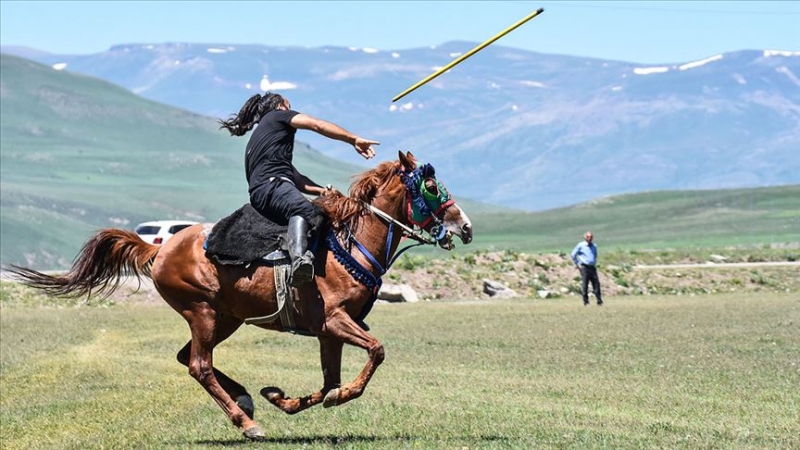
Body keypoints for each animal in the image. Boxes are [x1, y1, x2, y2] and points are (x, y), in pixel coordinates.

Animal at [9, 151, 472, 440]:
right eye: (431, 186)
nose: (465, 226)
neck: (350, 242)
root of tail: (160, 248)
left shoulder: (329, 332)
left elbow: (328, 382)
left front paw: (282, 398)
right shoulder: (336, 322)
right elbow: (375, 353)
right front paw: (335, 398)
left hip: (225, 318)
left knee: (188, 359)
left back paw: (247, 400)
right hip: (202, 311)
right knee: (198, 365)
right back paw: (245, 421)